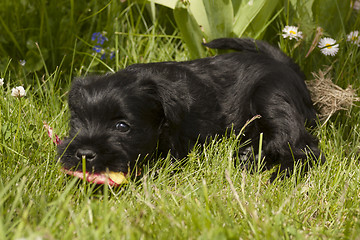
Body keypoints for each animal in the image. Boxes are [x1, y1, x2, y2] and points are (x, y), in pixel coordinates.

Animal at [58, 37, 324, 180]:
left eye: (122, 126)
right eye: (77, 122)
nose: (83, 154)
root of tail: (286, 65)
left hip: (271, 97)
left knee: (302, 148)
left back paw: (277, 172)